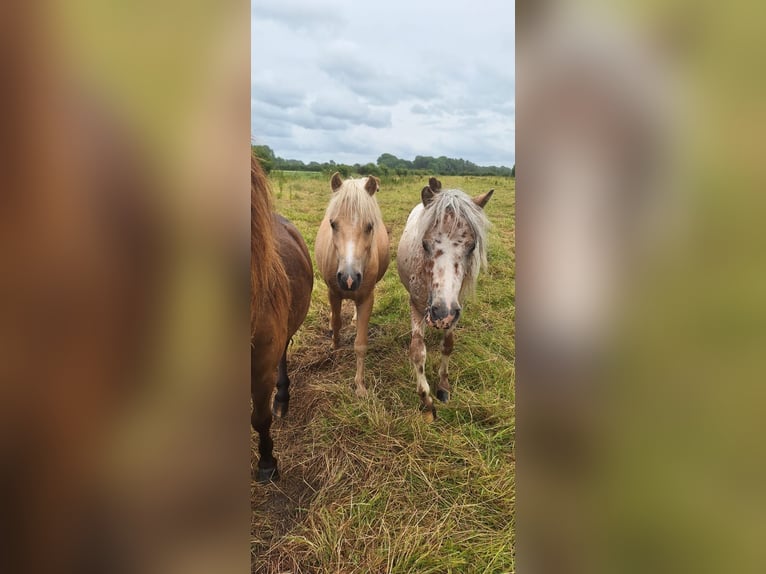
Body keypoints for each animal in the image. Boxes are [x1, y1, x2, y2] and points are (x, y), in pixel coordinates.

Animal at [316, 176, 392, 398]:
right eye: (333, 224)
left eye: (369, 226)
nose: (348, 279)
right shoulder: (333, 293)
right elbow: (337, 323)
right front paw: (334, 348)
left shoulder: (367, 298)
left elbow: (360, 344)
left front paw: (360, 385)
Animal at [400, 178, 496, 420]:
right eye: (425, 244)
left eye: (472, 246)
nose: (441, 314)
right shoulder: (417, 306)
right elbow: (418, 352)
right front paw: (426, 402)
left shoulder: (456, 309)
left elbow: (448, 345)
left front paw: (443, 386)